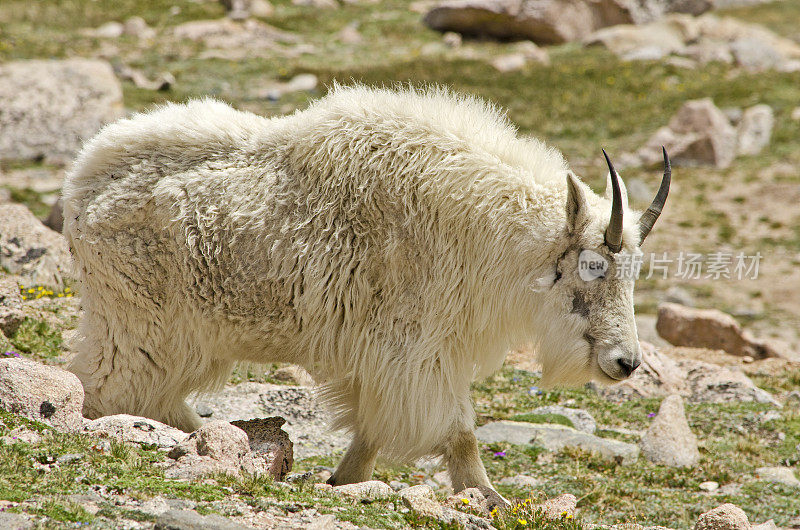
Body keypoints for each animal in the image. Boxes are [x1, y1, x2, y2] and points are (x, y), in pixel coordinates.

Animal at [65, 83, 672, 490]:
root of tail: (79, 186)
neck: (482, 227)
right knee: (110, 394)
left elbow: (373, 433)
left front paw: (342, 482)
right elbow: (458, 431)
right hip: (141, 326)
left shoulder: (386, 359)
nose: (626, 363)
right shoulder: (414, 350)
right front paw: (489, 498)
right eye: (592, 265)